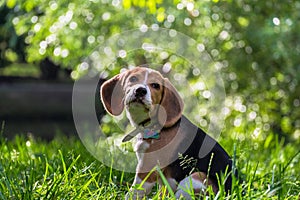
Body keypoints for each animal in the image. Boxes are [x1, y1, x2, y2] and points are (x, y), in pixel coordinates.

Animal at [101, 67, 237, 198]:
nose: (140, 90)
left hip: (195, 178)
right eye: (133, 78)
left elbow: (134, 192)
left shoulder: (147, 170)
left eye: (155, 85)